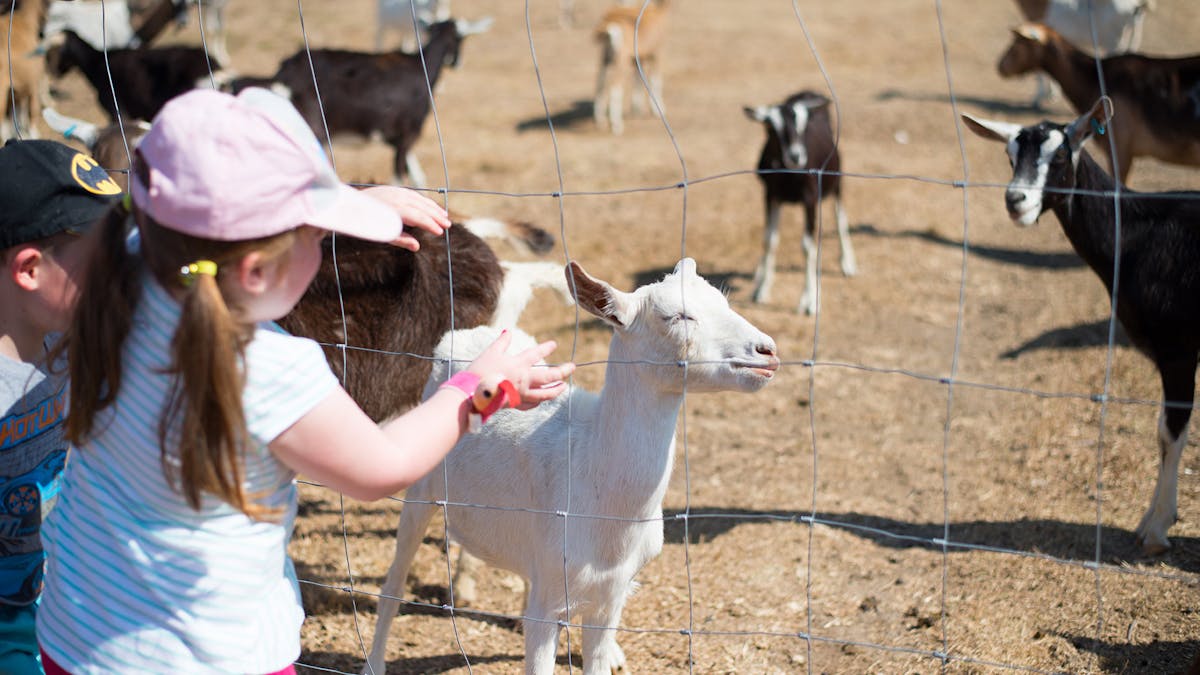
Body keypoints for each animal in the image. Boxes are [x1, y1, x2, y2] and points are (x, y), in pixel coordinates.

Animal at [265, 17, 491, 188]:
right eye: (461, 38)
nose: (458, 63)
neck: (422, 66)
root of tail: (284, 75)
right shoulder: (409, 133)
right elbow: (399, 180)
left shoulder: (394, 138)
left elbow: (418, 177)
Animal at [363, 258, 779, 675]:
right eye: (677, 316)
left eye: (724, 302)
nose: (767, 351)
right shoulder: (551, 602)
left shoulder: (610, 596)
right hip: (420, 487)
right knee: (394, 583)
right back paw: (375, 661)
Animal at [593, 0, 668, 135]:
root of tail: (609, 27)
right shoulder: (657, 53)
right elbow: (655, 80)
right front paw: (657, 110)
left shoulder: (637, 59)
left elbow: (638, 81)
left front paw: (637, 109)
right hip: (620, 62)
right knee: (615, 89)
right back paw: (617, 125)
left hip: (605, 60)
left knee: (599, 85)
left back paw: (601, 121)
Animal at [743, 90, 856, 315]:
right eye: (771, 128)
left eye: (803, 126)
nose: (796, 156)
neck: (790, 175)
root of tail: (808, 92)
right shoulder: (771, 195)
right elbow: (769, 240)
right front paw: (762, 290)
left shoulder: (810, 199)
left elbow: (807, 246)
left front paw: (809, 301)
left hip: (836, 181)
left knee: (840, 217)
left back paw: (847, 263)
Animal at [963, 98, 1200, 555]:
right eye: (1010, 157)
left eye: (1059, 157)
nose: (1015, 200)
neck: (1139, 234)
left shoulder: (1179, 348)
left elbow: (1169, 433)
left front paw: (1157, 528)